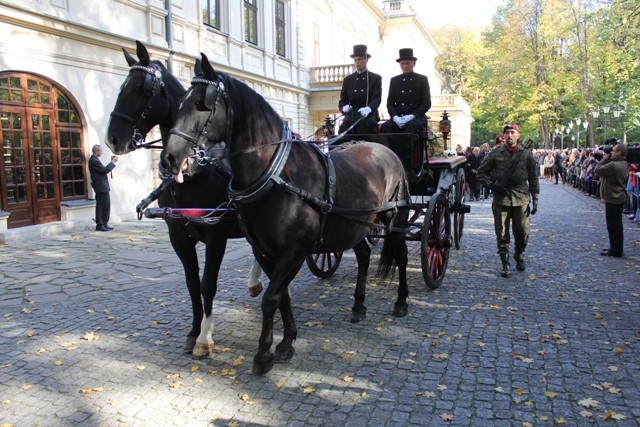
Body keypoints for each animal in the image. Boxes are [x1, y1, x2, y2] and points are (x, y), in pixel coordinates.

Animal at [107, 42, 262, 358]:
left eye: (141, 88)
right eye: (121, 87)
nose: (113, 138)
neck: (193, 174)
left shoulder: (216, 234)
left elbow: (207, 284)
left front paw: (205, 336)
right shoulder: (177, 235)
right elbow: (191, 284)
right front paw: (192, 332)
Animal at [160, 52, 410, 374]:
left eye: (202, 103)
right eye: (180, 102)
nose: (169, 157)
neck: (276, 174)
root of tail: (387, 151)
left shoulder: (294, 250)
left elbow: (271, 299)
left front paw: (264, 353)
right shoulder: (265, 250)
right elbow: (281, 297)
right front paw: (287, 341)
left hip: (395, 218)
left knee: (401, 254)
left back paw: (401, 301)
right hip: (356, 225)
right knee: (365, 255)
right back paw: (358, 305)